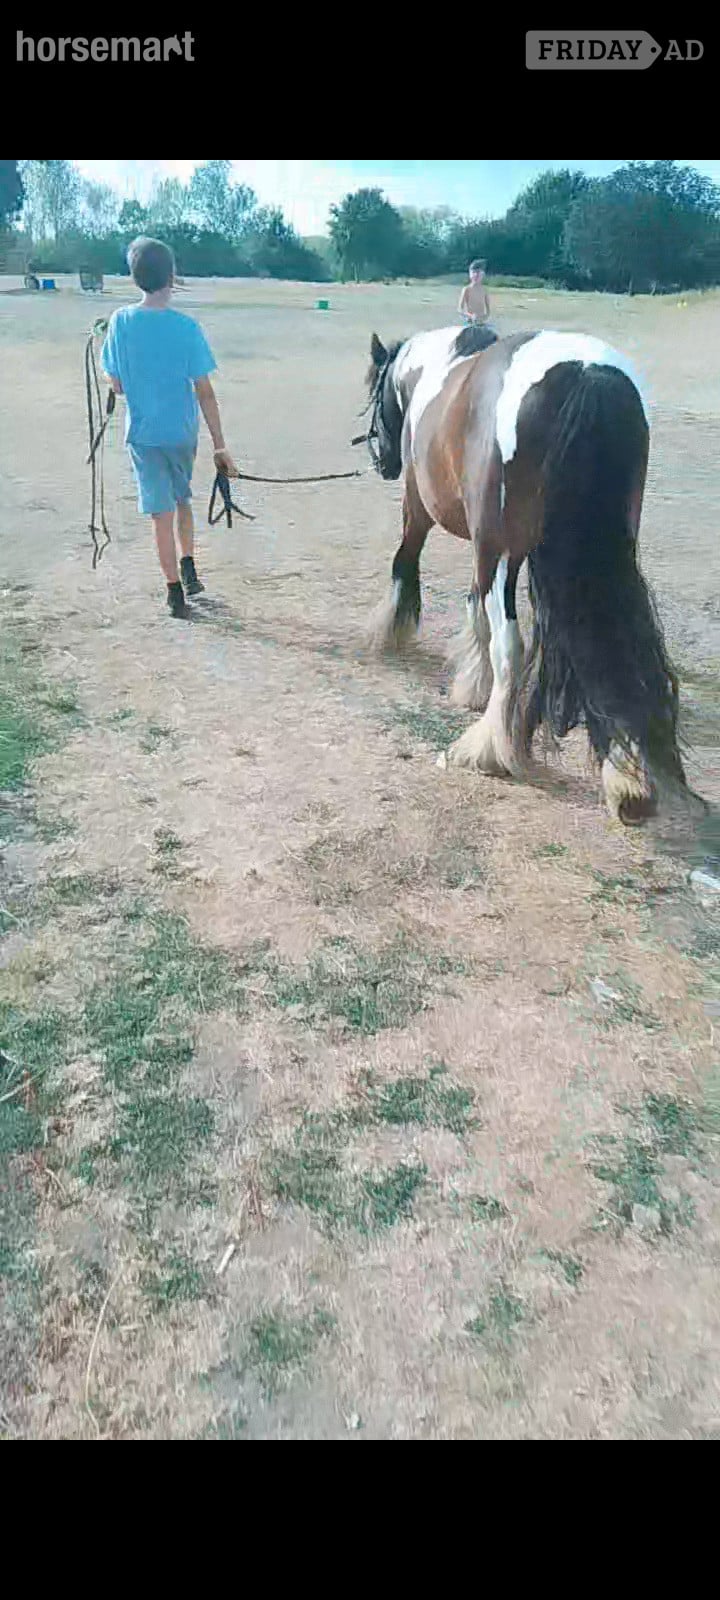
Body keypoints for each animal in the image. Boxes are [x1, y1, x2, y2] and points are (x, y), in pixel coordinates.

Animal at [363, 324, 687, 825]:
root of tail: (585, 372)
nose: (381, 460)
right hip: (606, 556)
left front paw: (391, 632)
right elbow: (475, 607)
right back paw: (626, 779)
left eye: (374, 392)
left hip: (496, 550)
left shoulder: (424, 511)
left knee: (511, 648)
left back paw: (488, 751)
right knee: (620, 649)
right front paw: (473, 683)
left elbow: (407, 562)